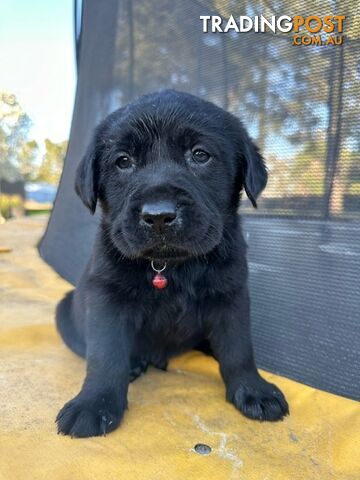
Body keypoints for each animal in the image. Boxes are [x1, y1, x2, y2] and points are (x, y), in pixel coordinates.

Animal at [54, 90, 288, 438]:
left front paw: (253, 389)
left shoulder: (231, 295)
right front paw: (94, 403)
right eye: (123, 161)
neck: (170, 266)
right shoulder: (106, 298)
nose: (158, 216)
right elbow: (105, 355)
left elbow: (238, 348)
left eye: (200, 155)